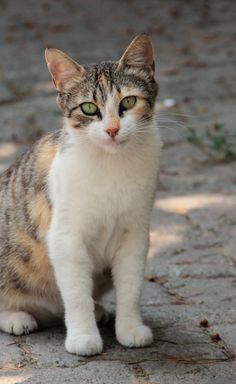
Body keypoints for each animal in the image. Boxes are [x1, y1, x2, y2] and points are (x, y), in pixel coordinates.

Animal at [0, 34, 160, 356]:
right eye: (88, 108)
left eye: (128, 102)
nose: (112, 129)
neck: (112, 165)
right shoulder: (66, 237)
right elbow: (75, 294)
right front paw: (83, 336)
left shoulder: (135, 234)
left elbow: (131, 287)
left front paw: (130, 328)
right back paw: (16, 317)